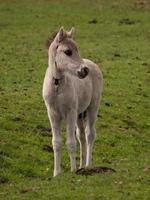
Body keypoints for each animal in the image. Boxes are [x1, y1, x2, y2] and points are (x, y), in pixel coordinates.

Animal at [42, 27, 103, 177]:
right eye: (68, 51)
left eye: (77, 49)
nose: (85, 70)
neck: (57, 85)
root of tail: (92, 63)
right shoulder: (53, 114)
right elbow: (56, 142)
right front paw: (56, 173)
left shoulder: (70, 113)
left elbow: (70, 142)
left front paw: (73, 170)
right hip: (79, 115)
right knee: (81, 136)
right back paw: (82, 166)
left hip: (92, 108)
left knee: (89, 134)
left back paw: (88, 165)